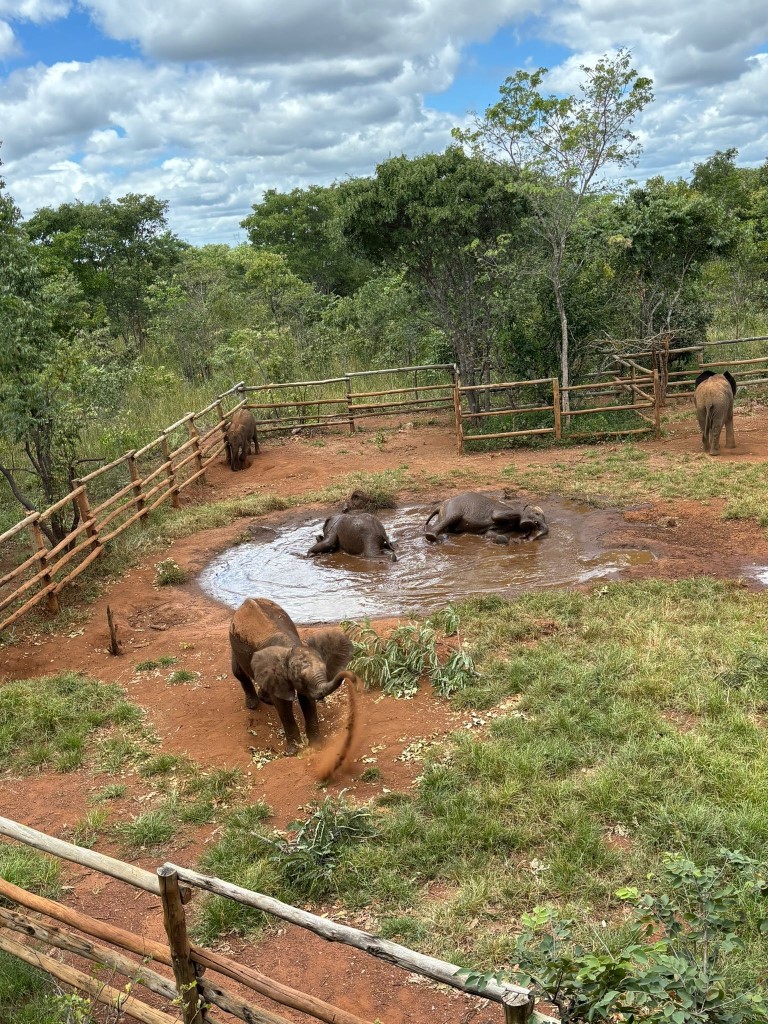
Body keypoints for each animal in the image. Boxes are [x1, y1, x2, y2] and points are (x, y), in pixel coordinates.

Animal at [228, 598, 360, 757]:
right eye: (299, 678)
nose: (354, 680)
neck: (290, 648)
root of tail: (245, 602)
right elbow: (283, 705)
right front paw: (293, 752)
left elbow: (307, 701)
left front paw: (316, 747)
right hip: (233, 641)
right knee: (238, 672)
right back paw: (253, 705)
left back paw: (265, 700)